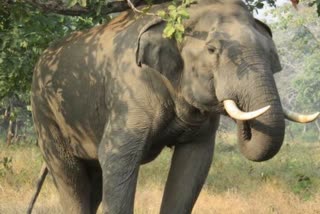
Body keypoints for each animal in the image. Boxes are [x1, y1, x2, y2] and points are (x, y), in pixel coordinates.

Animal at [30, 0, 320, 213]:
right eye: (212, 50)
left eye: (271, 54)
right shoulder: (129, 91)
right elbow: (116, 156)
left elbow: (194, 162)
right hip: (46, 113)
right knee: (70, 175)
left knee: (93, 178)